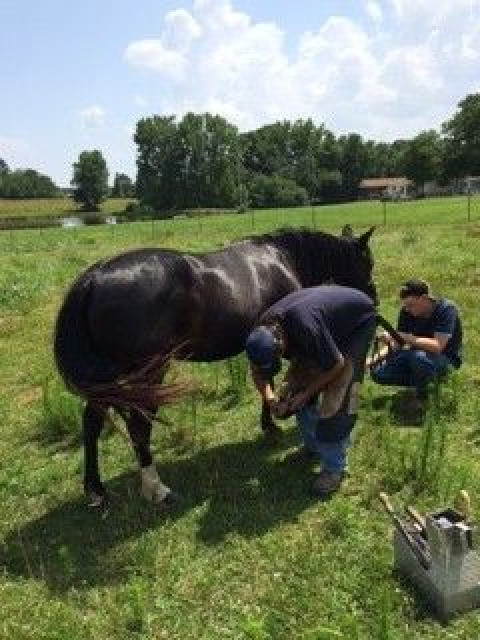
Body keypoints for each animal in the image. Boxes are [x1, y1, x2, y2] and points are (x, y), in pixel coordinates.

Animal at [52, 225, 376, 510]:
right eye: (367, 262)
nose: (374, 299)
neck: (281, 259)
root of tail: (94, 278)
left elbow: (265, 382)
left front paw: (269, 424)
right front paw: (274, 423)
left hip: (106, 379)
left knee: (92, 422)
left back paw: (96, 490)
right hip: (147, 374)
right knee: (139, 426)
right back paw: (157, 489)